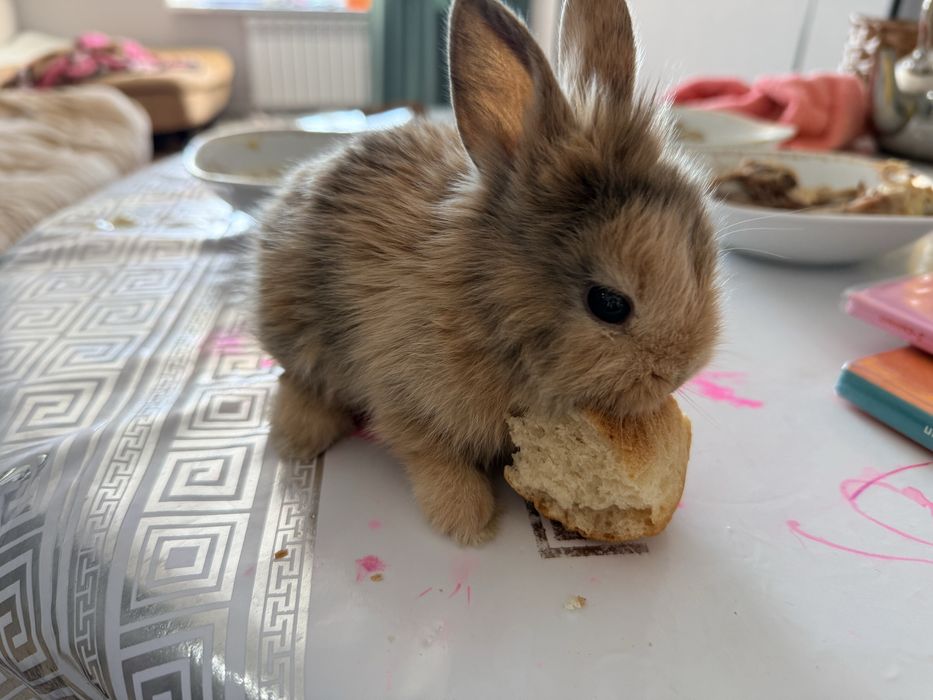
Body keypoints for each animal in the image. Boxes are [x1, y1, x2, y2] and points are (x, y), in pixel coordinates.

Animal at [255, 0, 721, 545]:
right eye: (608, 304)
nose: (676, 373)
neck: (490, 306)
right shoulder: (405, 397)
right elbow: (429, 454)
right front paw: (467, 521)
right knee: (297, 380)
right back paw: (300, 440)